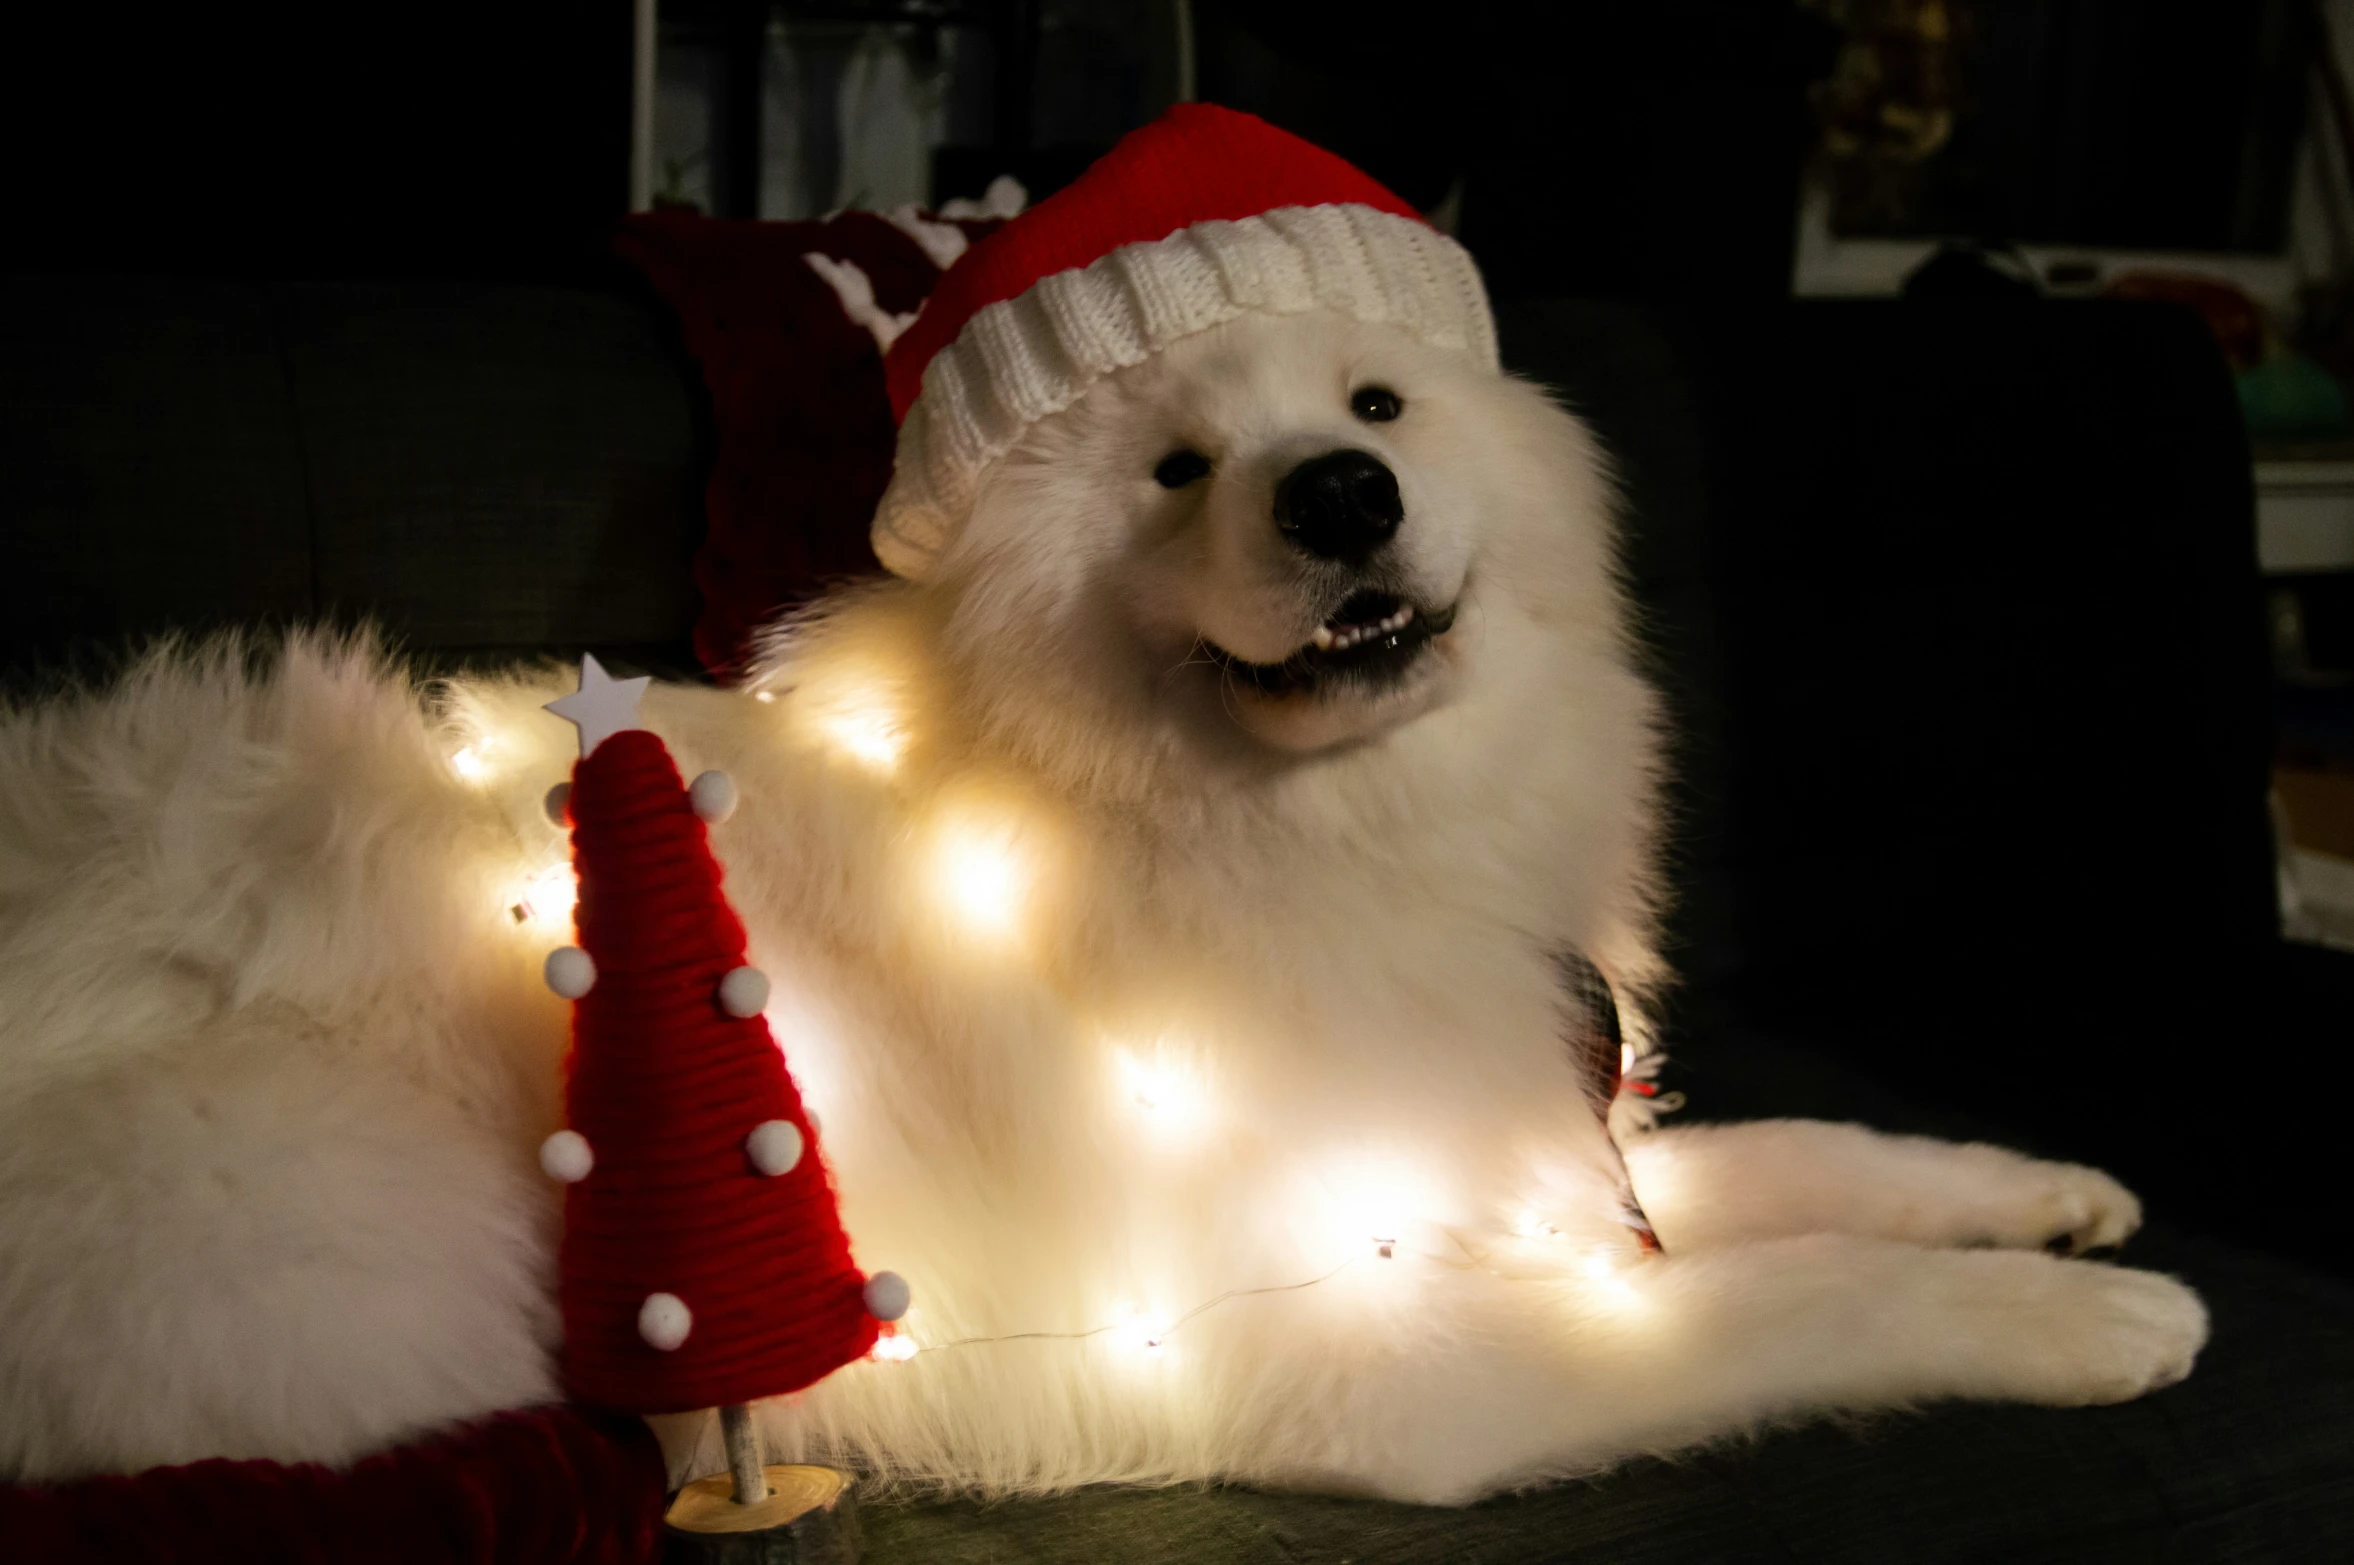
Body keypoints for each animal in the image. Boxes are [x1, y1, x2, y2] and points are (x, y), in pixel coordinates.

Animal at [0, 301, 2203, 1506]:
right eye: (1173, 466)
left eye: (1377, 407)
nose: (1336, 496)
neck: (1268, 820)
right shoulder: (1371, 1341)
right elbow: (1795, 1289)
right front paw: (2086, 1314)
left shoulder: (1529, 1156)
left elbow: (1803, 1157)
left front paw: (2041, 1191)